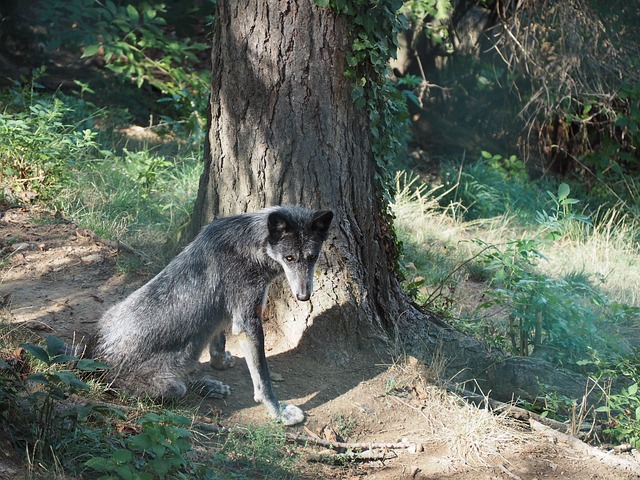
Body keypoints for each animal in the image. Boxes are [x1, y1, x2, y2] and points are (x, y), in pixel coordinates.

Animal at [95, 206, 334, 426]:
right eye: (289, 258)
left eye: (312, 257)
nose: (304, 296)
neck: (252, 245)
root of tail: (96, 357)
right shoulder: (248, 323)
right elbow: (263, 381)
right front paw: (279, 413)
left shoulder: (224, 313)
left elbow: (218, 343)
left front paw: (220, 363)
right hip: (172, 386)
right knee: (183, 388)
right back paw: (207, 387)